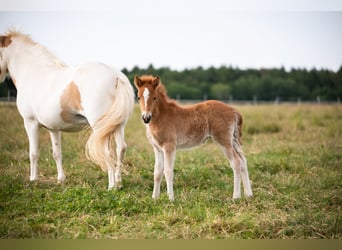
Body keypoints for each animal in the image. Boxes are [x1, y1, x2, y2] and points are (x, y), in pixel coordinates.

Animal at [0, 30, 134, 188]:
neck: (32, 72)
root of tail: (116, 76)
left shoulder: (30, 122)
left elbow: (33, 153)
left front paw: (33, 179)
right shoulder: (53, 128)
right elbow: (57, 153)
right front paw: (61, 179)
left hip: (101, 127)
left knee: (106, 152)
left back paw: (111, 186)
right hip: (118, 125)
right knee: (121, 148)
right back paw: (118, 183)